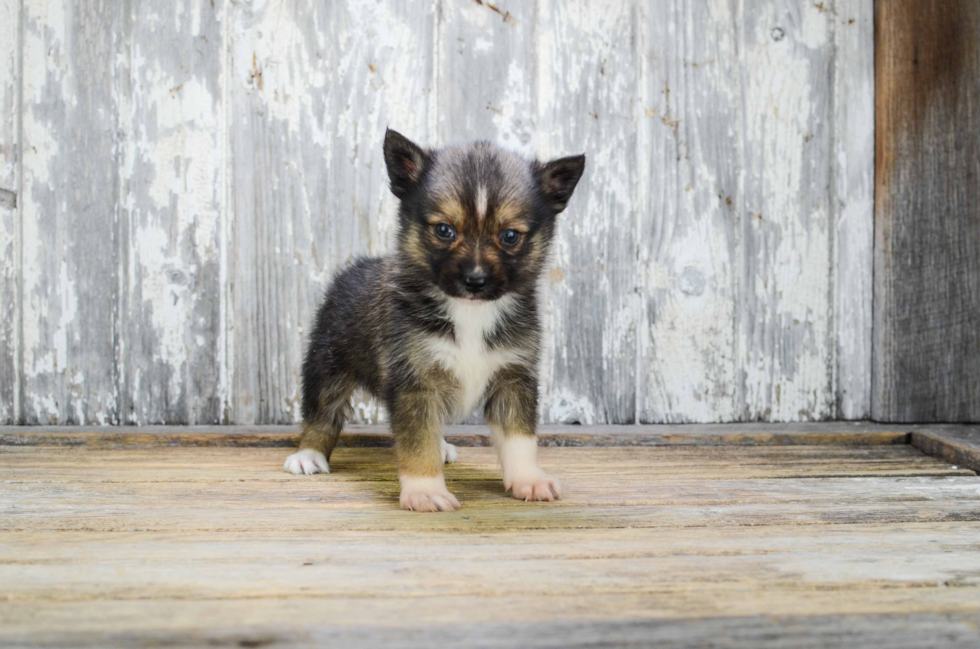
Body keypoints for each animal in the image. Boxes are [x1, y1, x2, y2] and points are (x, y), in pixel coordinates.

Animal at [286, 128, 588, 512]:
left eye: (510, 236)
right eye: (444, 230)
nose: (475, 280)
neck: (470, 311)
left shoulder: (513, 378)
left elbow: (520, 437)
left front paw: (528, 479)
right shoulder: (416, 381)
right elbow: (417, 442)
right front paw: (425, 490)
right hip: (327, 362)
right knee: (322, 412)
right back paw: (308, 454)